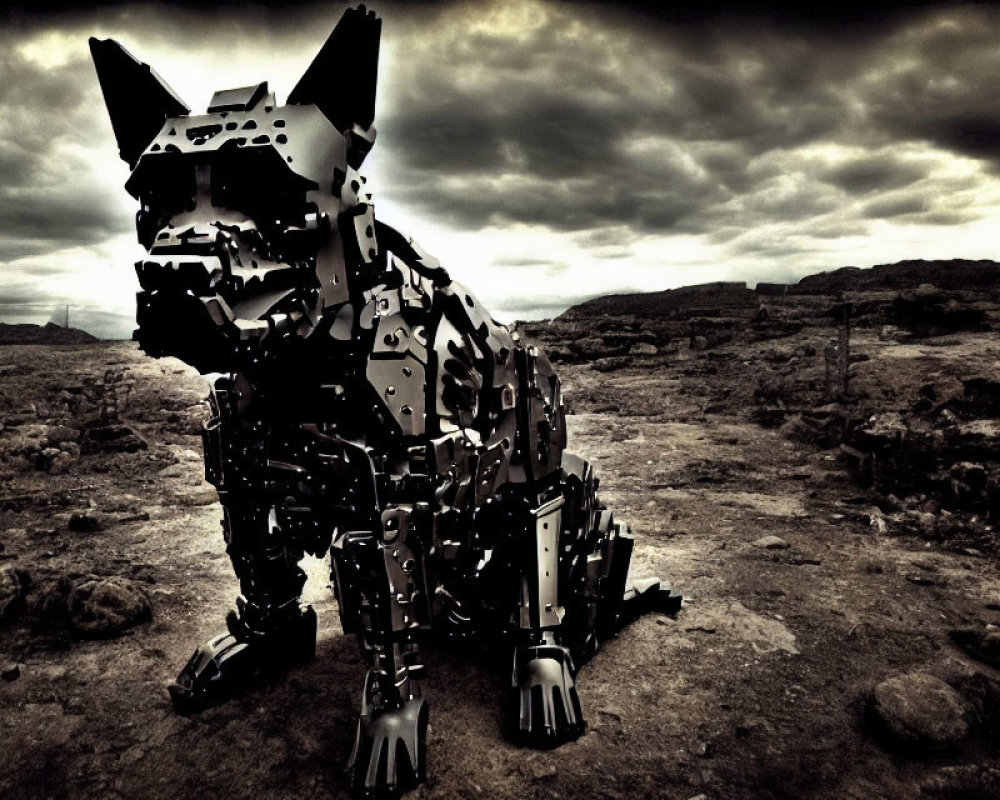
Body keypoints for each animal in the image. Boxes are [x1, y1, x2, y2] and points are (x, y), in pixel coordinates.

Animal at [92, 4, 680, 792]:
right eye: (155, 199)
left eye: (269, 195)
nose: (171, 275)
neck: (301, 370)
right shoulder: (243, 476)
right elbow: (259, 560)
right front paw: (260, 642)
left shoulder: (386, 511)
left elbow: (389, 621)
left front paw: (392, 725)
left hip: (556, 495)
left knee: (541, 565)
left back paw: (545, 673)